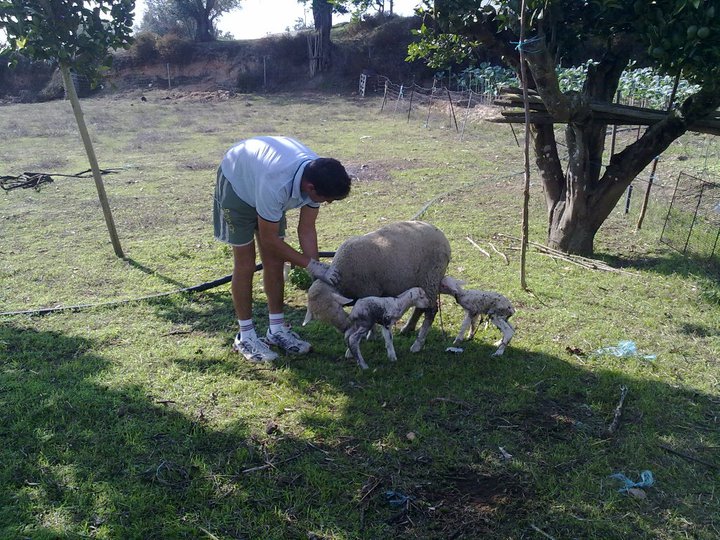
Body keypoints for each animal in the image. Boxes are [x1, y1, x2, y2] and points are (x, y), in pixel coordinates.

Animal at [302, 220, 450, 354]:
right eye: (323, 320)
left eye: (337, 307)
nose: (344, 328)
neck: (343, 275)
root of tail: (443, 237)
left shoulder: (369, 291)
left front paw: (371, 335)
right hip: (422, 280)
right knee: (420, 307)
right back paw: (408, 328)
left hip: (431, 277)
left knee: (431, 311)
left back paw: (417, 345)